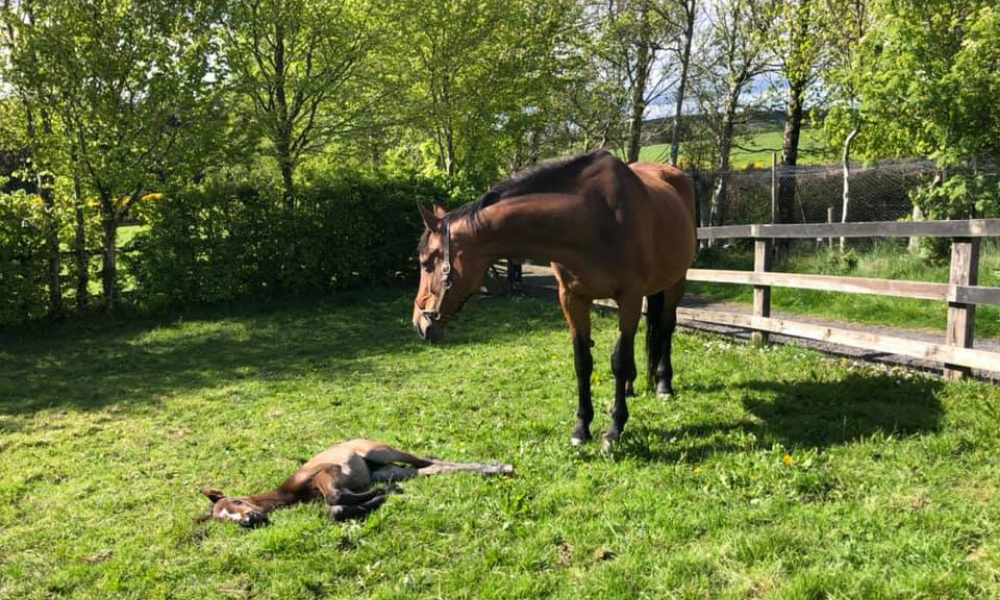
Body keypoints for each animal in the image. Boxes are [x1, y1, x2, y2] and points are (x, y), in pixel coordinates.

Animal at [199, 439, 513, 527]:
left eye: (237, 502)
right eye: (224, 519)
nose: (249, 520)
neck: (290, 493)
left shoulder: (326, 473)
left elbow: (335, 498)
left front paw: (379, 495)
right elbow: (335, 509)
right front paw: (379, 497)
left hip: (380, 451)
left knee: (425, 459)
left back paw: (501, 467)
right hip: (388, 469)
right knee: (430, 467)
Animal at [411, 150, 696, 449]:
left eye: (427, 263)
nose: (419, 323)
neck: (594, 217)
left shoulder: (628, 297)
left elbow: (618, 360)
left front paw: (614, 429)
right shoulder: (572, 298)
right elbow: (582, 361)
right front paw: (581, 427)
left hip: (676, 282)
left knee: (665, 327)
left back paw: (663, 384)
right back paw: (630, 385)